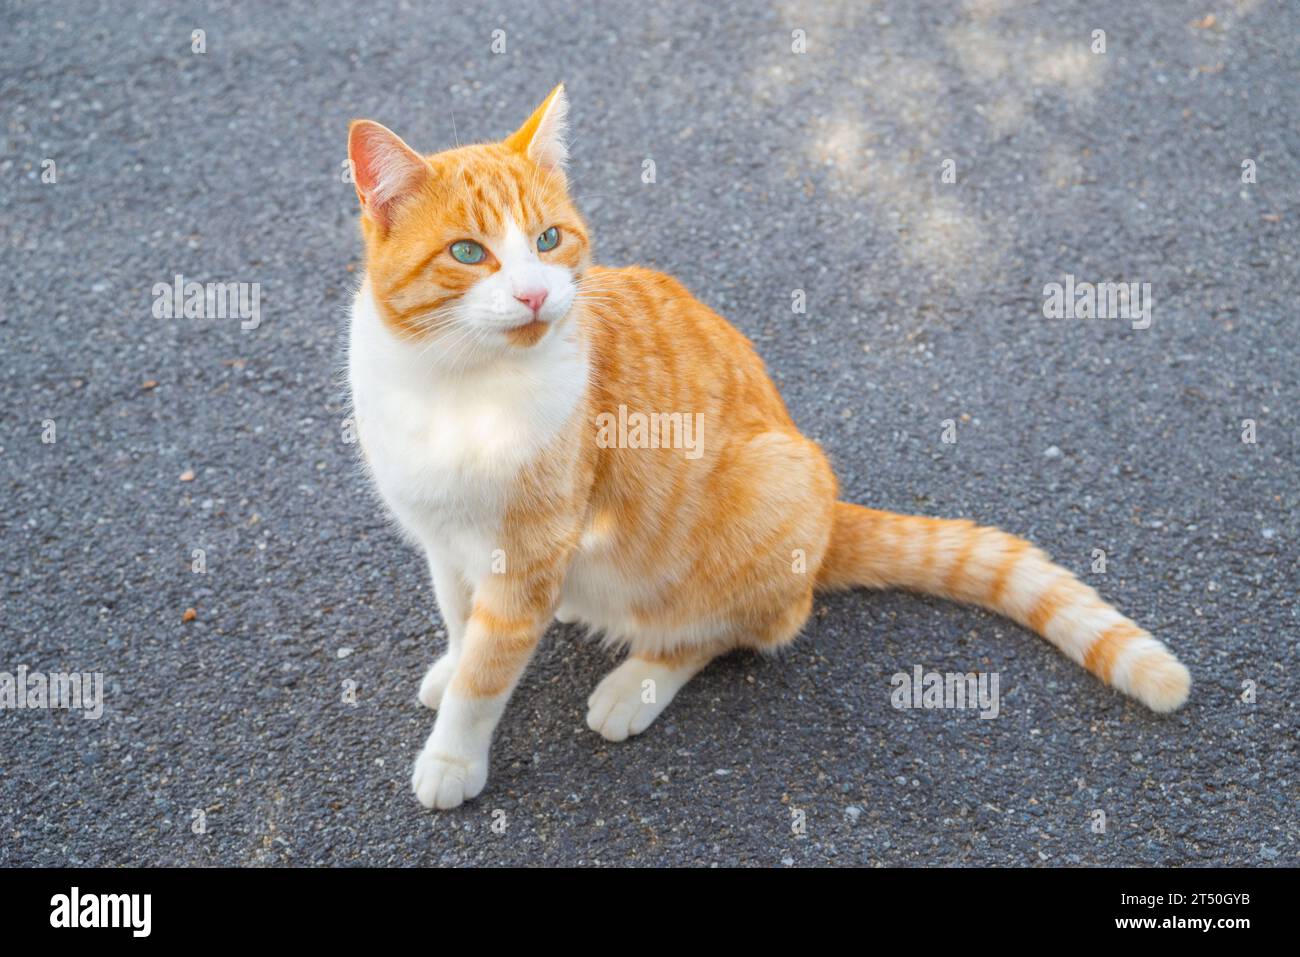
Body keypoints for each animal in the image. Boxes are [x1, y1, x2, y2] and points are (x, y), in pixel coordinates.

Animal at [343, 85, 1190, 811]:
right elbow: (461, 623)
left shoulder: (526, 558)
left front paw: (452, 754)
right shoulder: (445, 541)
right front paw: (451, 665)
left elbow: (487, 676)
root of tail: (831, 509)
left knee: (734, 627)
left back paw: (637, 682)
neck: (456, 384)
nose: (533, 295)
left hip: (769, 487)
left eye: (549, 240)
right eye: (468, 253)